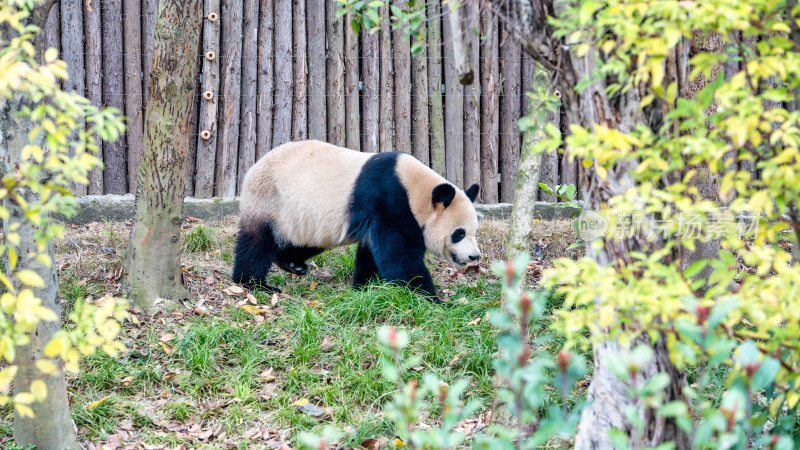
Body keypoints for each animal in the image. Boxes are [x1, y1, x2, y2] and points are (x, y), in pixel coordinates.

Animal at [231, 139, 482, 298]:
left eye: (474, 232)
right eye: (459, 233)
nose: (474, 256)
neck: (415, 190)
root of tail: (255, 164)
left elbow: (371, 253)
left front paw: (366, 288)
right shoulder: (391, 202)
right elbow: (400, 258)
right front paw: (431, 298)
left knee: (305, 241)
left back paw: (292, 264)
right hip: (269, 199)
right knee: (257, 242)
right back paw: (253, 283)